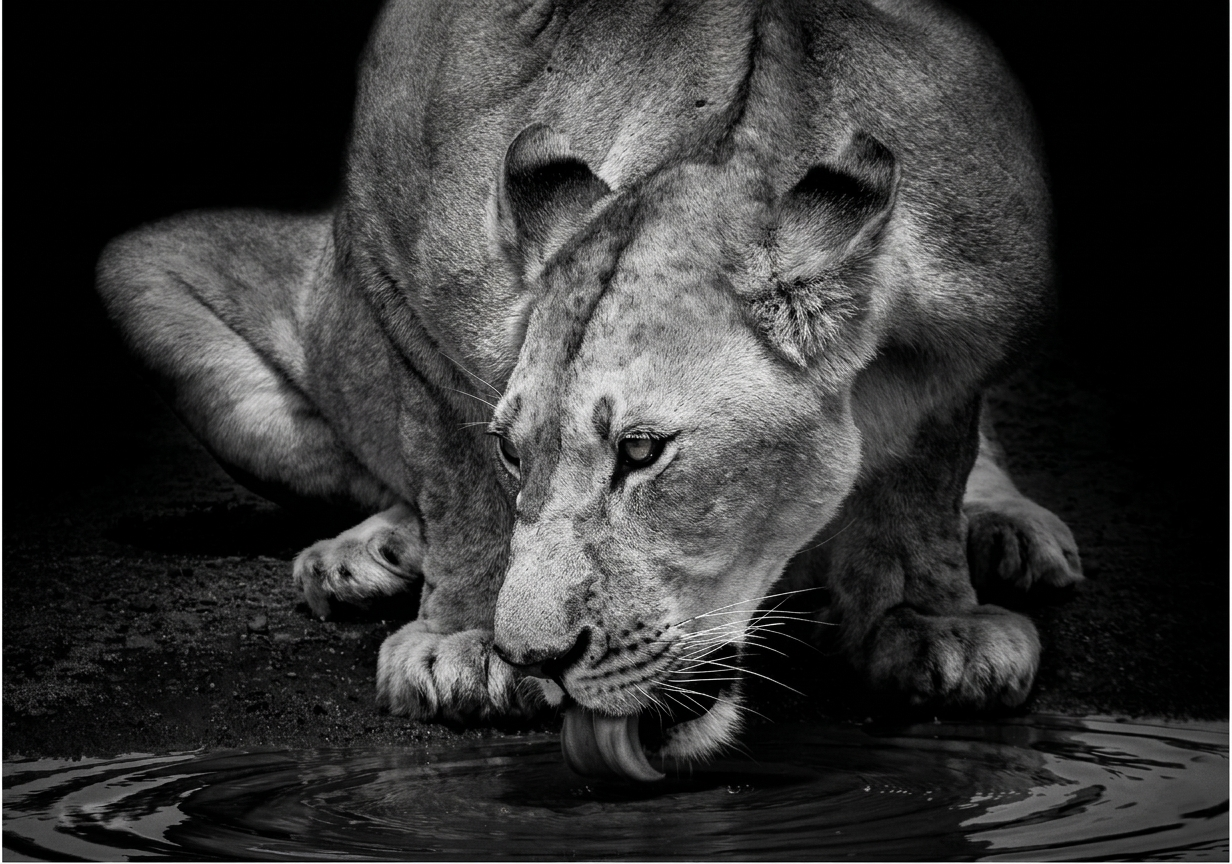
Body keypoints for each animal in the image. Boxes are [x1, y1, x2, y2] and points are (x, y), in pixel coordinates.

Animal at [96, 0, 1082, 781]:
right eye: (510, 448)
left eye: (641, 452)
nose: (535, 654)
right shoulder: (396, 260)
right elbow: (453, 473)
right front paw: (463, 650)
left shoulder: (981, 316)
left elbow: (927, 467)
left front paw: (935, 623)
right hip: (145, 286)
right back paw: (366, 556)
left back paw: (1012, 531)